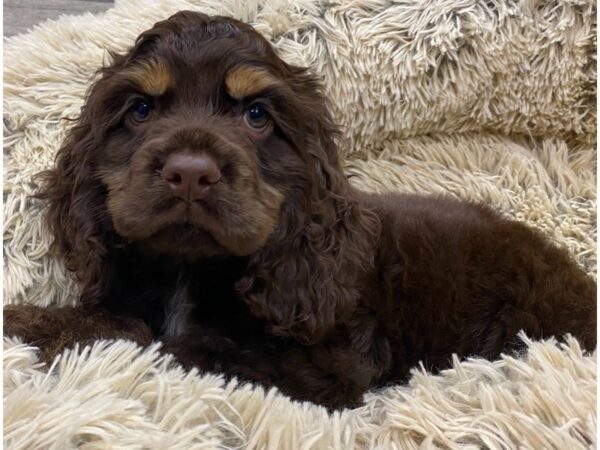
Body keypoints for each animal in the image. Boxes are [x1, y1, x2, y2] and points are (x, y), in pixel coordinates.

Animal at [4, 11, 596, 412]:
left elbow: (156, 340)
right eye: (141, 109)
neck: (190, 269)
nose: (190, 172)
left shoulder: (324, 365)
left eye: (257, 115)